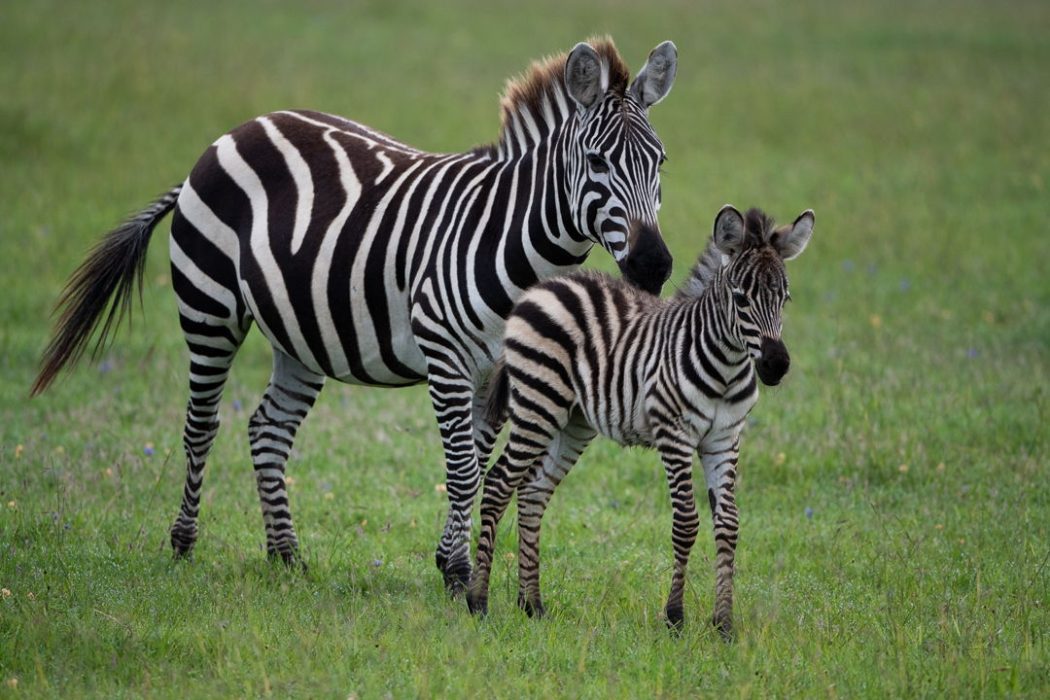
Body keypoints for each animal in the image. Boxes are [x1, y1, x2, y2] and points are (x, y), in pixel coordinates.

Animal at [30, 37, 678, 592]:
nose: (653, 265)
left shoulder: (494, 369)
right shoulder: (444, 353)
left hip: (299, 332)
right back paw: (184, 544)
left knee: (266, 428)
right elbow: (463, 468)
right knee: (201, 424)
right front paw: (457, 574)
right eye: (596, 162)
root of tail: (235, 132)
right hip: (209, 307)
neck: (508, 238)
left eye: (661, 162)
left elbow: (477, 460)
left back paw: (286, 556)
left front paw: (450, 561)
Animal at [465, 205, 815, 638]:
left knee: (532, 491)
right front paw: (675, 617)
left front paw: (723, 624)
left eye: (784, 298)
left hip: (572, 421)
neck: (728, 366)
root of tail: (545, 286)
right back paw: (478, 602)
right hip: (538, 403)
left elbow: (728, 525)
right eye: (740, 299)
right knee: (498, 484)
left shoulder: (724, 439)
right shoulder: (674, 434)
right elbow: (686, 523)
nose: (776, 365)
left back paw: (532, 605)